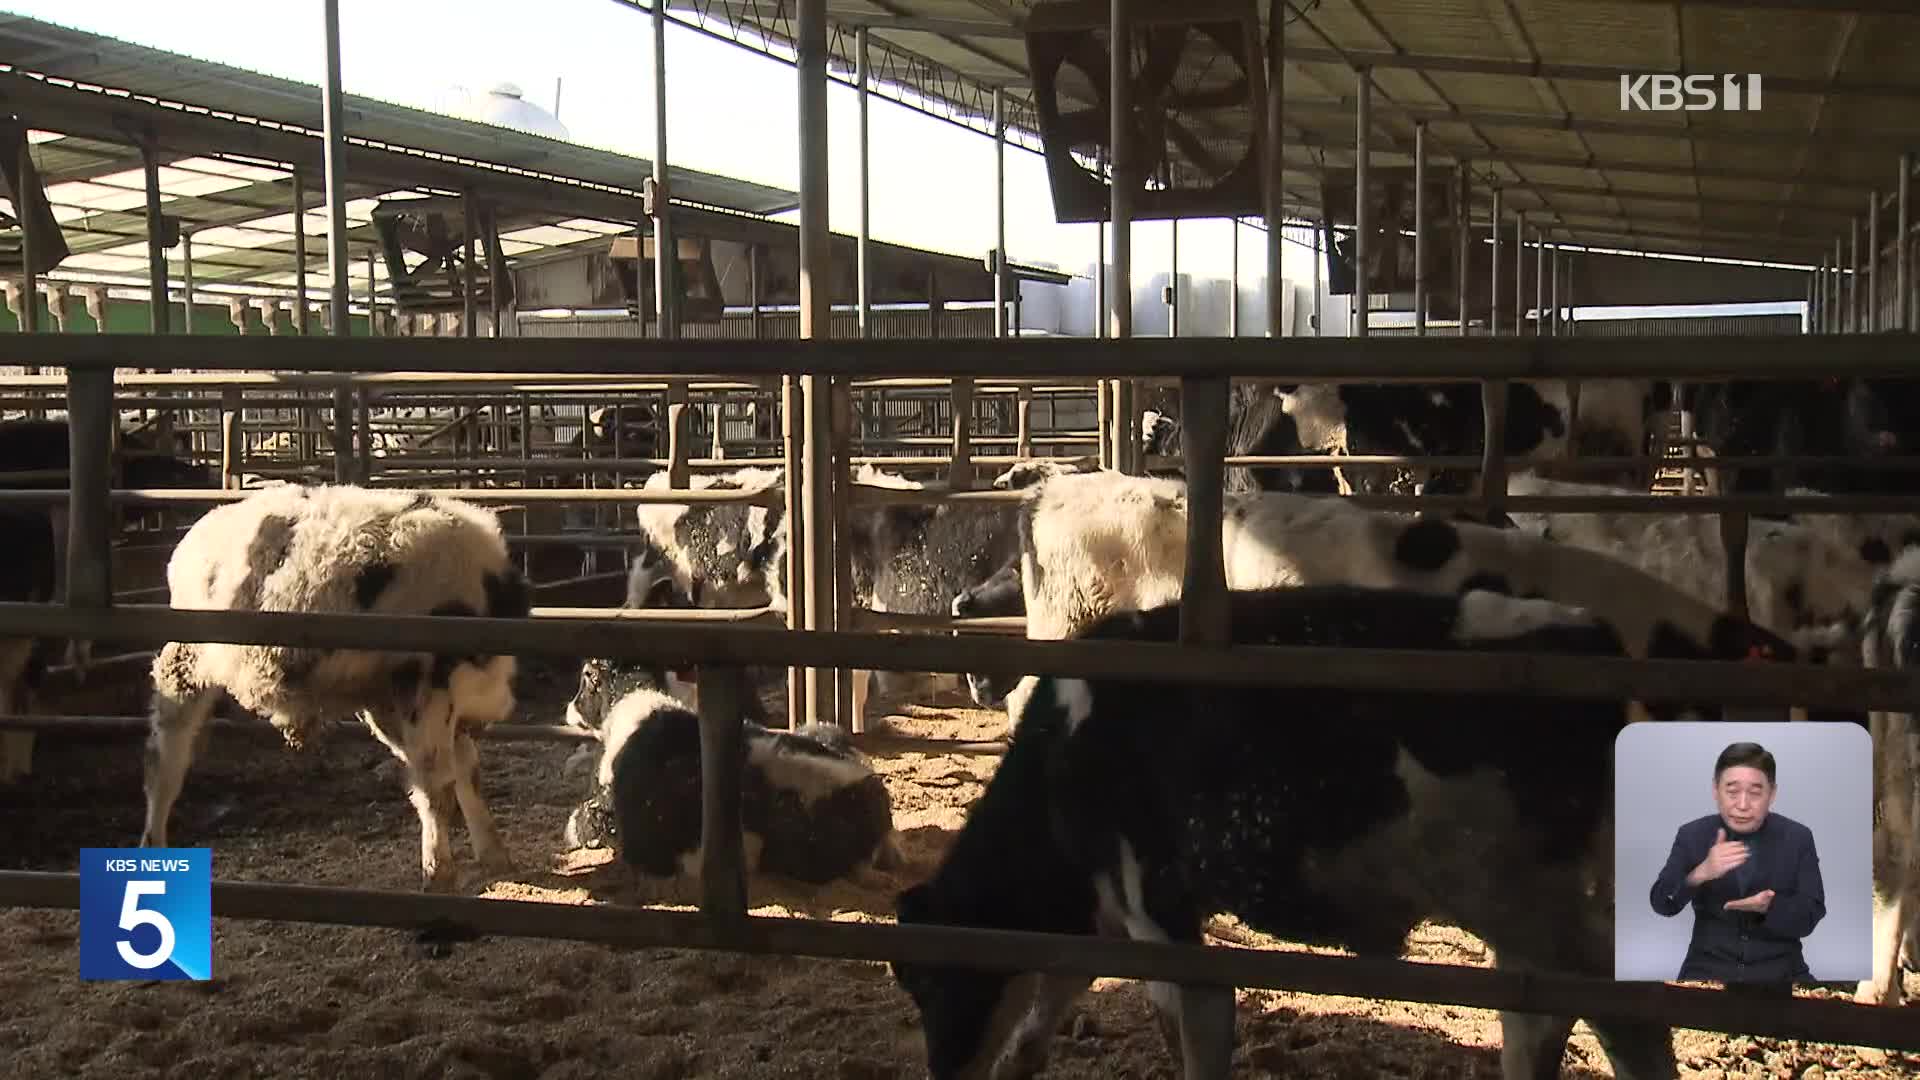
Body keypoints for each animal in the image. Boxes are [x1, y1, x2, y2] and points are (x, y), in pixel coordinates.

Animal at [140, 484, 533, 887]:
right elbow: (436, 786)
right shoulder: (425, 691)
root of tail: (196, 535)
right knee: (163, 759)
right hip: (184, 661)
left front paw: (495, 857)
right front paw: (438, 873)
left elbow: (468, 773)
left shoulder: (407, 702)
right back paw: (153, 843)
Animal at [890, 584, 1674, 1076]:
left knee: (1612, 1011)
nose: (942, 1069)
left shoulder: (1155, 903)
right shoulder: (1103, 907)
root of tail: (1588, 630)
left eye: (926, 980)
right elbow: (1049, 1006)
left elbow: (1193, 1030)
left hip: (1514, 893)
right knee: (1538, 1016)